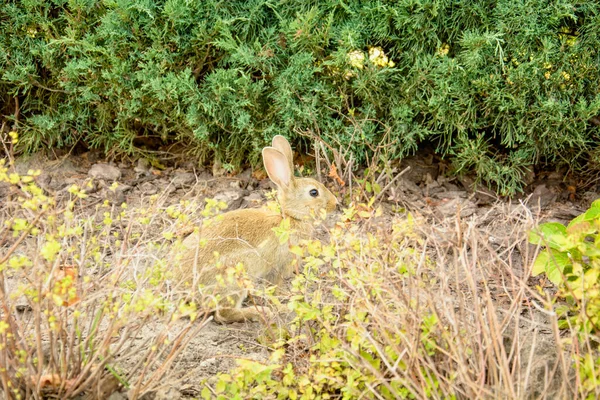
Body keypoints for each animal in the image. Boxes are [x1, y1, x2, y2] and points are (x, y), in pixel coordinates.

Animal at [176, 136, 340, 324]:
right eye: (314, 192)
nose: (335, 203)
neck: (290, 218)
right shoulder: (278, 267)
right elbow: (275, 288)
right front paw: (284, 304)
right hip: (233, 277)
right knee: (222, 314)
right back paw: (259, 312)